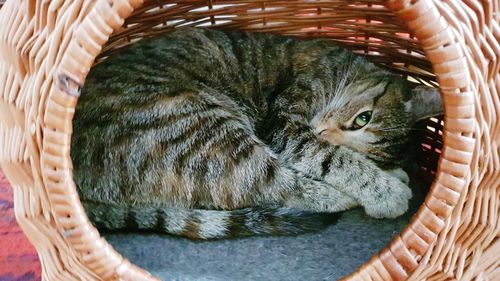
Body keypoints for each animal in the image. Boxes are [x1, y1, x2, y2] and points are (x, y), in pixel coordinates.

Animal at [71, 27, 442, 238]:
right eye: (363, 118)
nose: (323, 130)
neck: (344, 70)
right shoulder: (286, 124)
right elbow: (331, 158)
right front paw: (383, 188)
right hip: (202, 126)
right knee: (278, 186)